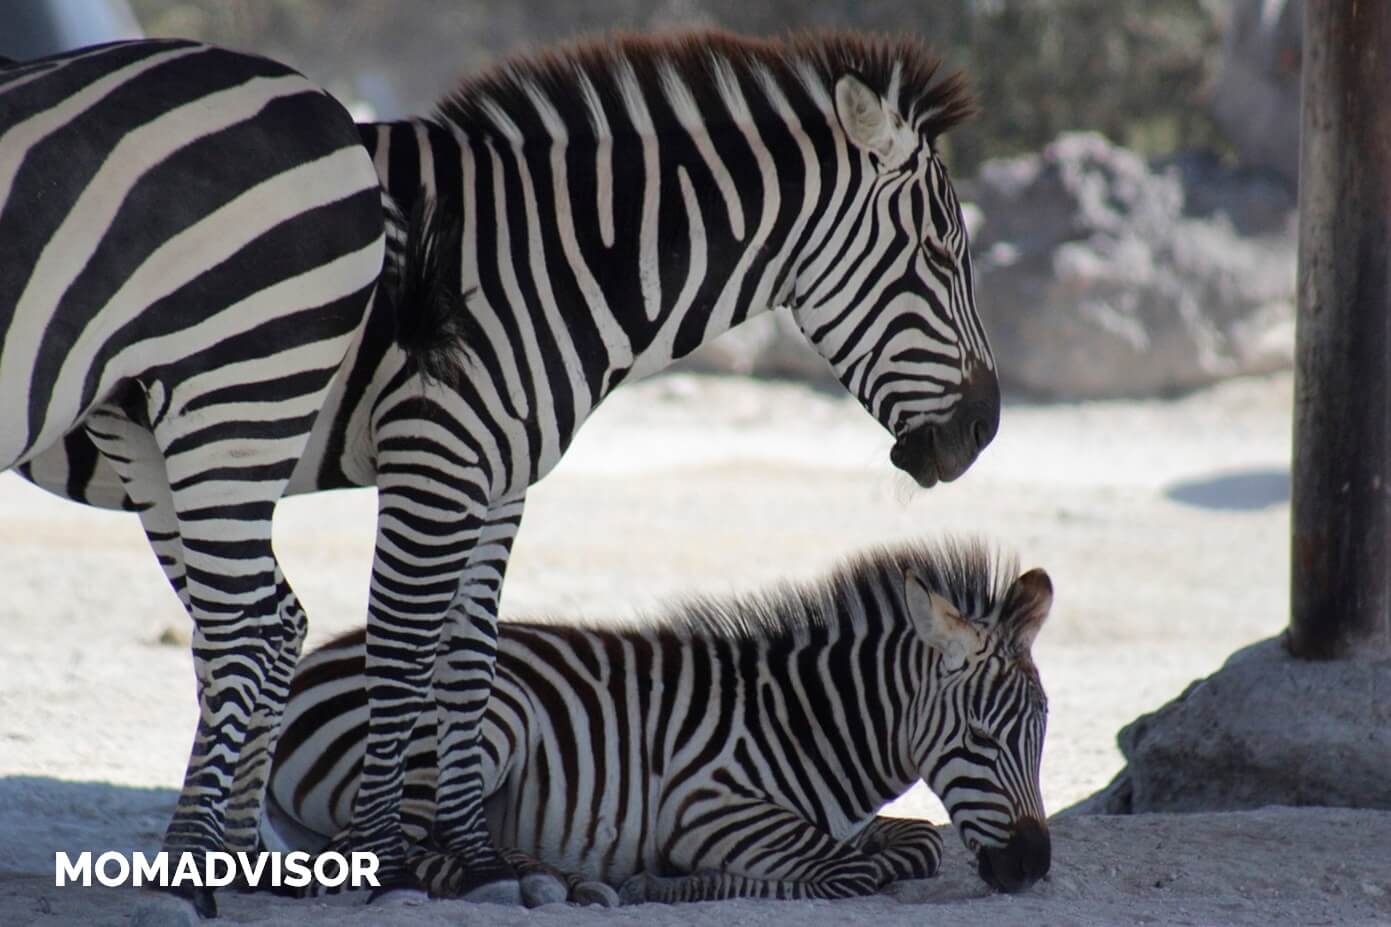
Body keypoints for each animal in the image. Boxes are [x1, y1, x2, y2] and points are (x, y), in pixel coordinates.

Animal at [0, 40, 385, 917]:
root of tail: (321, 100)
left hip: (238, 377)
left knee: (249, 623)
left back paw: (189, 865)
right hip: (140, 409)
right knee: (255, 617)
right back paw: (232, 856)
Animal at [262, 539, 1052, 903]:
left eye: (1040, 734)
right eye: (980, 739)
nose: (1034, 868)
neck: (811, 725)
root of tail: (311, 664)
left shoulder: (850, 822)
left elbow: (916, 842)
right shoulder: (706, 805)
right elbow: (848, 871)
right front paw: (671, 884)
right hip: (485, 722)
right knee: (373, 847)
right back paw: (557, 881)